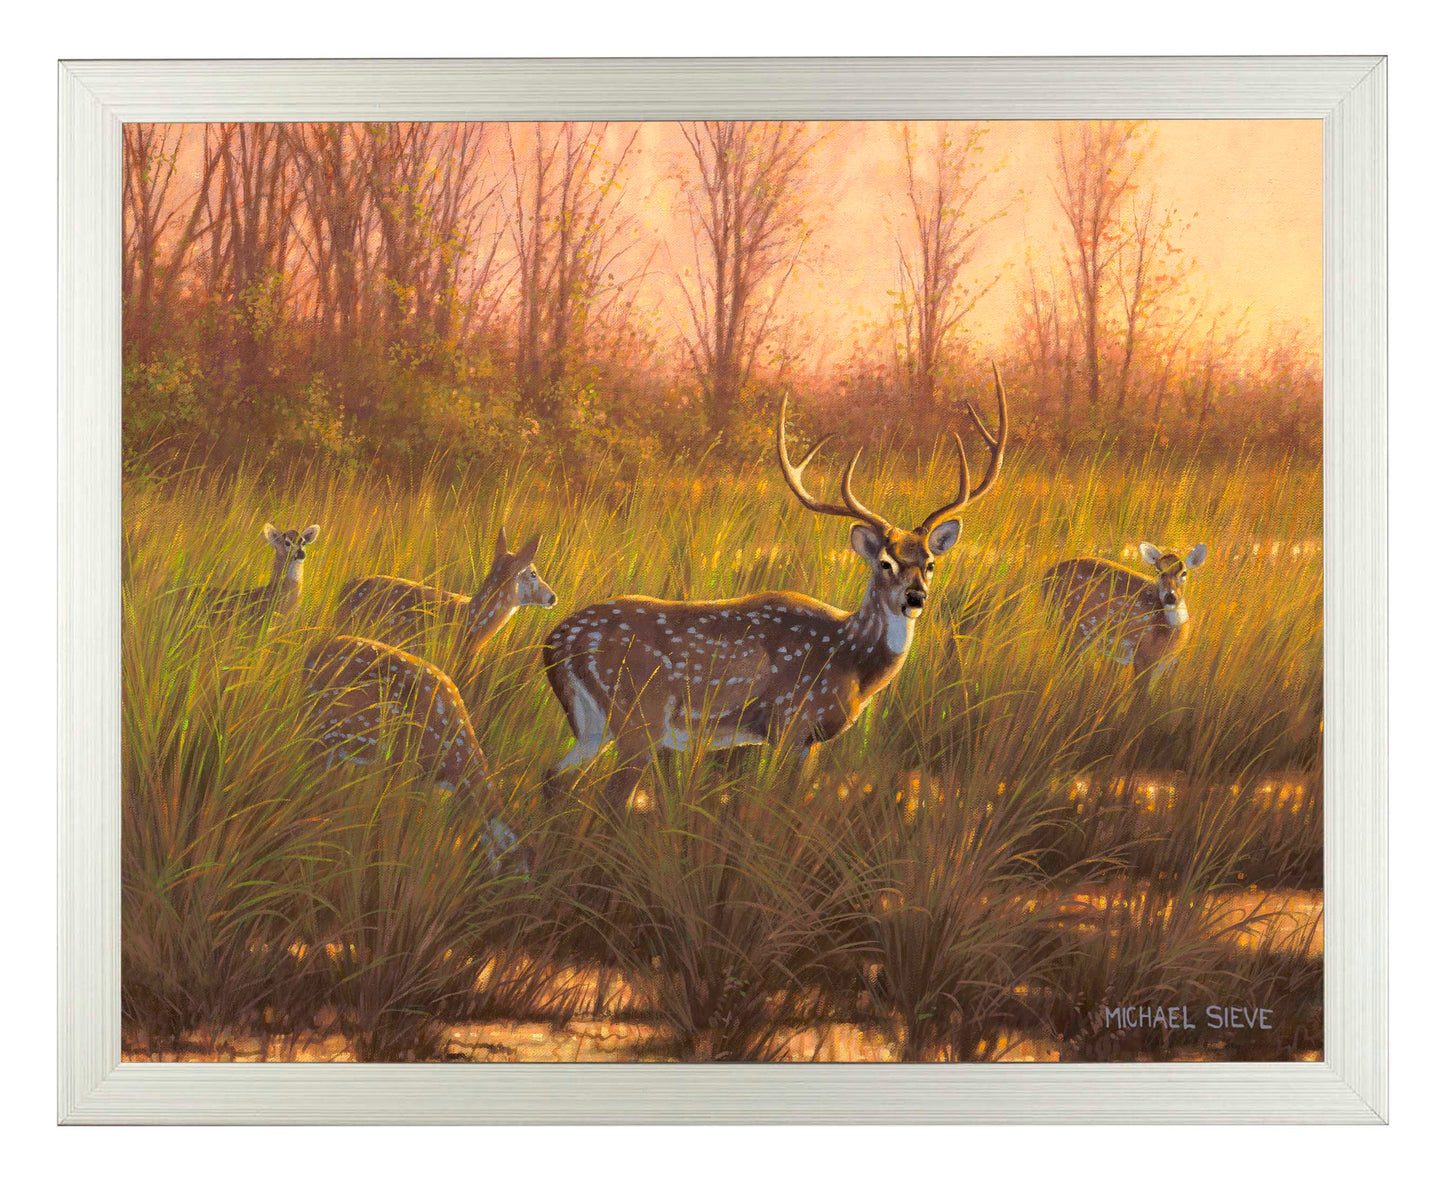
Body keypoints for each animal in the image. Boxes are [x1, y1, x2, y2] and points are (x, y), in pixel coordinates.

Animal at [540, 366, 1009, 814]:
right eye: (885, 563)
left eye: (930, 563)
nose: (915, 598)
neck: (852, 660)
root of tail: (555, 642)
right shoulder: (791, 721)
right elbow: (775, 805)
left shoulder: (808, 741)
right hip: (640, 718)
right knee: (607, 798)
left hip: (593, 725)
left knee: (552, 778)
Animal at [1041, 542, 1207, 686]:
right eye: (1159, 572)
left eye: (1184, 572)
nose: (1170, 596)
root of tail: (1046, 575)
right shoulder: (1143, 658)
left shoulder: (1161, 666)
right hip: (1072, 627)